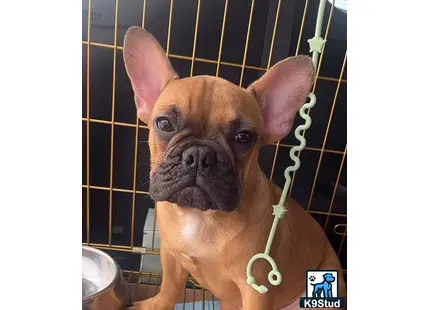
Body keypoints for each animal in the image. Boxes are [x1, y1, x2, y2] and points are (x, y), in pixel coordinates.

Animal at [122, 27, 344, 310]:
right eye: (164, 124)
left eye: (243, 138)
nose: (199, 154)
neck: (202, 216)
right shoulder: (171, 256)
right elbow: (169, 289)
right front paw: (155, 304)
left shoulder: (256, 288)